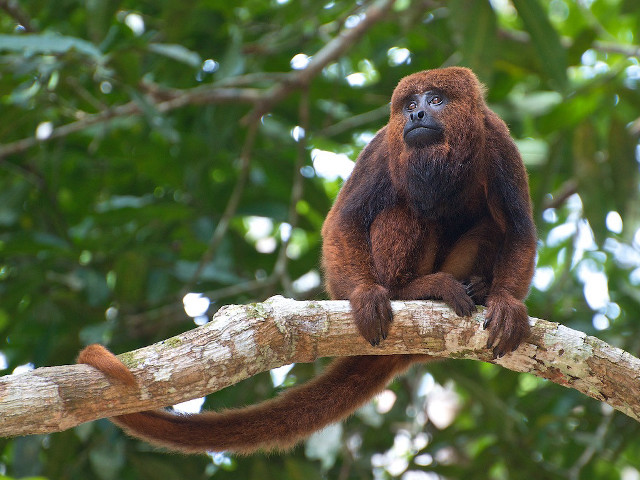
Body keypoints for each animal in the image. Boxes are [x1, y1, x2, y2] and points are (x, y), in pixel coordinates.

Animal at [77, 67, 537, 454]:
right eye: (409, 105)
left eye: (436, 100)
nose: (418, 113)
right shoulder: (382, 145)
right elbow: (344, 221)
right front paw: (366, 296)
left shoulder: (499, 141)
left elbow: (518, 229)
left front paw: (506, 304)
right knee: (405, 210)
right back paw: (412, 289)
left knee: (490, 224)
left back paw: (475, 287)